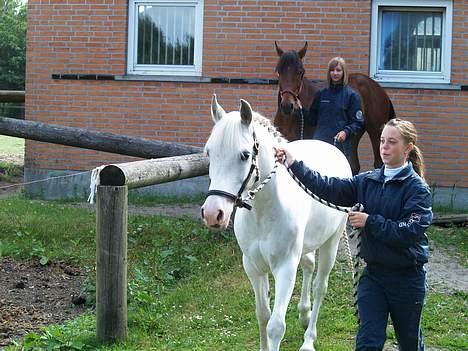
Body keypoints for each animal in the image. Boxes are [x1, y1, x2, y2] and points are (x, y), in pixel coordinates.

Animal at [201, 95, 352, 351]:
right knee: (309, 265)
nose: (213, 214)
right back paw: (304, 313)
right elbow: (262, 315)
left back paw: (308, 339)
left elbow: (275, 326)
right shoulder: (253, 267)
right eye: (209, 153)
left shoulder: (285, 267)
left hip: (331, 243)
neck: (264, 213)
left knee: (320, 286)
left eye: (244, 155)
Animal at [274, 42, 394, 175]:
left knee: (378, 163)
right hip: (353, 134)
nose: (287, 106)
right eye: (279, 71)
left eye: (300, 72)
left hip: (376, 133)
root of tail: (379, 89)